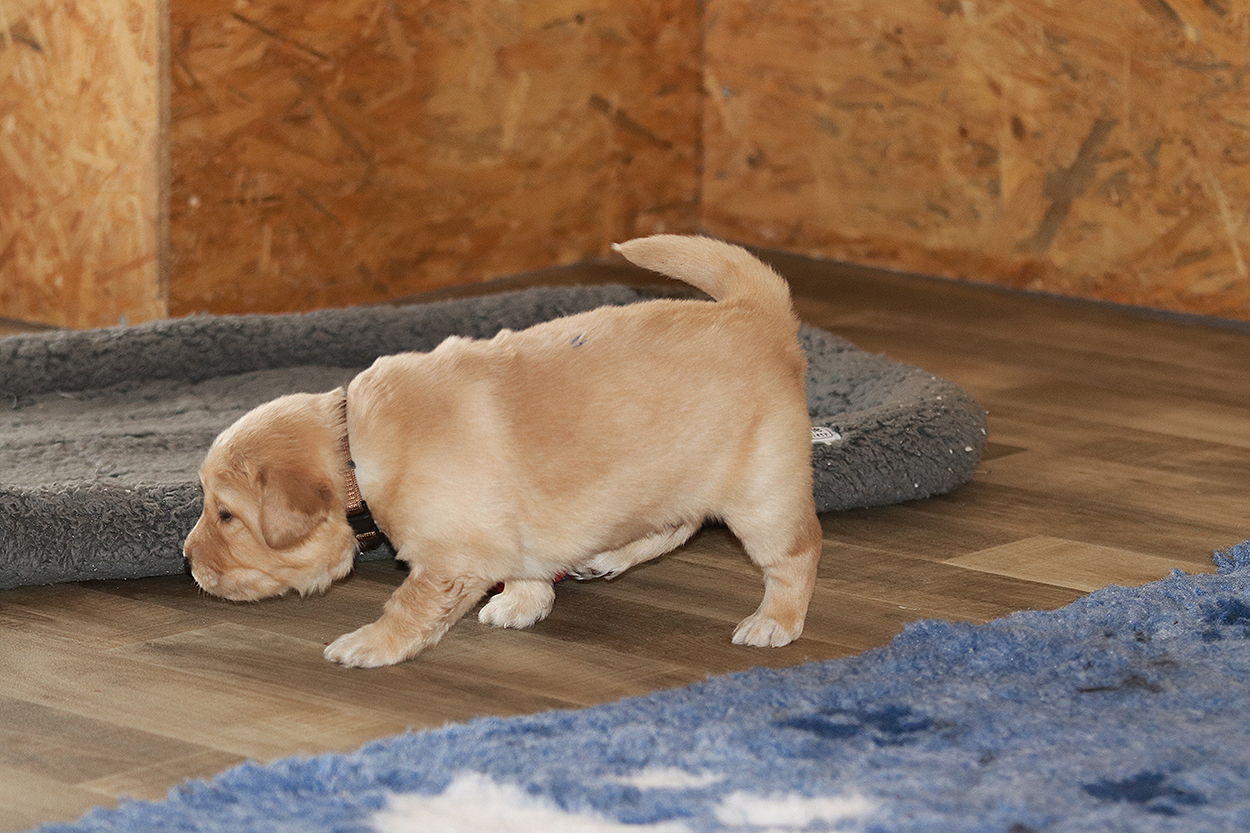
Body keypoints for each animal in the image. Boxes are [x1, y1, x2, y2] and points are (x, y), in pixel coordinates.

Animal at [183, 234, 822, 667]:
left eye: (227, 516)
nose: (186, 559)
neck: (354, 453)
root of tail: (757, 312)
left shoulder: (449, 557)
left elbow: (408, 605)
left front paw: (369, 644)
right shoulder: (510, 532)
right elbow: (526, 567)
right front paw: (522, 603)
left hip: (761, 495)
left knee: (796, 554)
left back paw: (773, 623)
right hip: (668, 474)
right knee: (680, 523)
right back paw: (607, 557)